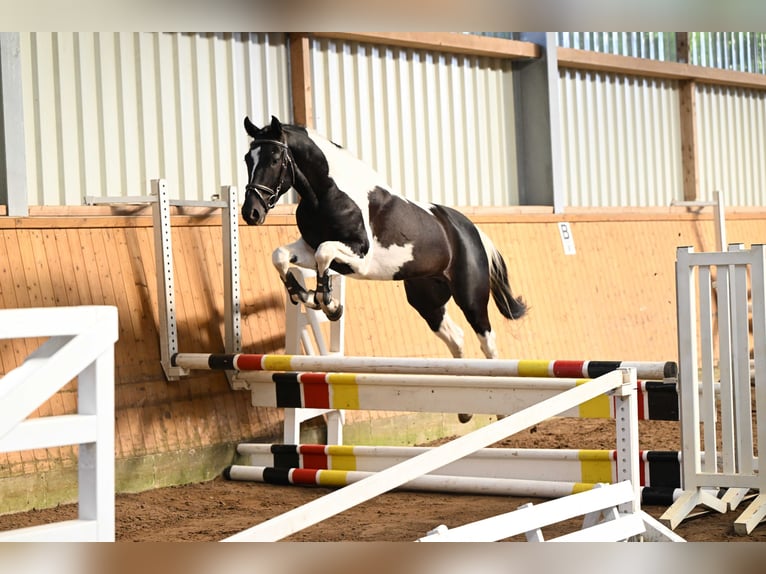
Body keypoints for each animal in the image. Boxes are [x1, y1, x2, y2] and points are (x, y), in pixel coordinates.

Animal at [241, 116, 527, 422]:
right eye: (248, 158)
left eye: (274, 159)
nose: (251, 213)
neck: (327, 194)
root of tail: (469, 228)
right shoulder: (307, 247)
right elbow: (281, 256)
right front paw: (305, 295)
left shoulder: (358, 256)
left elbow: (324, 254)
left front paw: (329, 304)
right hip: (427, 301)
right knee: (456, 337)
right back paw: (464, 411)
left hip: (470, 298)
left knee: (487, 341)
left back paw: (501, 411)